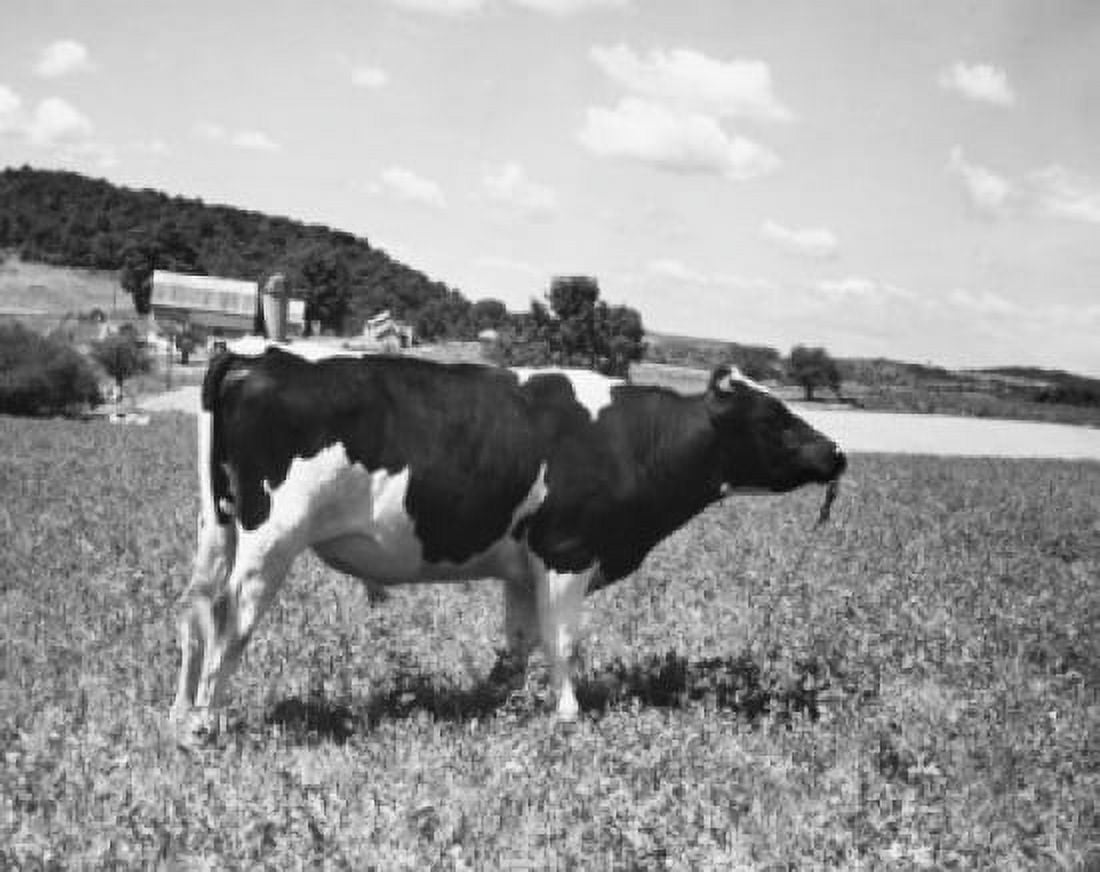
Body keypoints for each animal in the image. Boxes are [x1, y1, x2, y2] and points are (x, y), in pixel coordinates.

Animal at [171, 347, 846, 740]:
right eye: (773, 418)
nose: (837, 453)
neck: (632, 439)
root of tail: (262, 356)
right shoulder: (567, 553)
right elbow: (562, 640)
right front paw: (568, 714)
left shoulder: (524, 568)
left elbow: (518, 644)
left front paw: (491, 702)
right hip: (270, 540)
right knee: (232, 618)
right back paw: (208, 722)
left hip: (218, 526)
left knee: (195, 612)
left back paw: (182, 713)